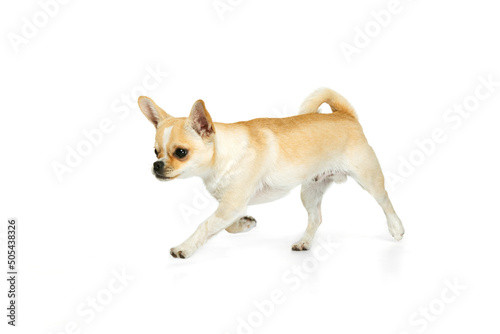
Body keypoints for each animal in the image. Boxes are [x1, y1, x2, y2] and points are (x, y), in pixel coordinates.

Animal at [139, 88, 404, 258]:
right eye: (155, 152)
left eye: (181, 152)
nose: (157, 165)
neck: (222, 157)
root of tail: (344, 114)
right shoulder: (231, 207)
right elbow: (224, 226)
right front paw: (245, 224)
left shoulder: (231, 204)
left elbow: (204, 226)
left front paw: (184, 247)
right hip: (310, 190)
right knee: (316, 218)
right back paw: (304, 242)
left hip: (369, 178)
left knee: (386, 201)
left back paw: (396, 228)